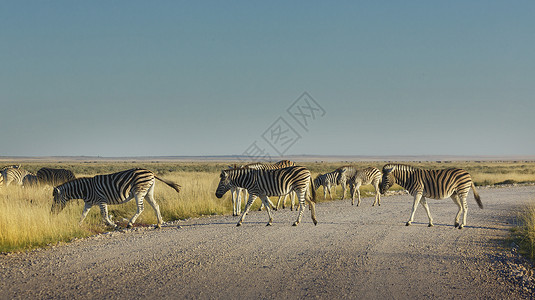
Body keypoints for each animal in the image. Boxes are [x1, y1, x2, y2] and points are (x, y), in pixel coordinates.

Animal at [52, 168, 182, 229]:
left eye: (55, 201)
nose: (52, 213)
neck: (85, 189)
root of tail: (151, 172)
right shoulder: (88, 203)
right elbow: (83, 215)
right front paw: (78, 226)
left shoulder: (101, 200)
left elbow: (104, 216)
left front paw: (115, 225)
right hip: (148, 192)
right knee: (156, 205)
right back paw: (158, 224)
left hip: (139, 192)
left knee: (141, 208)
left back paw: (130, 223)